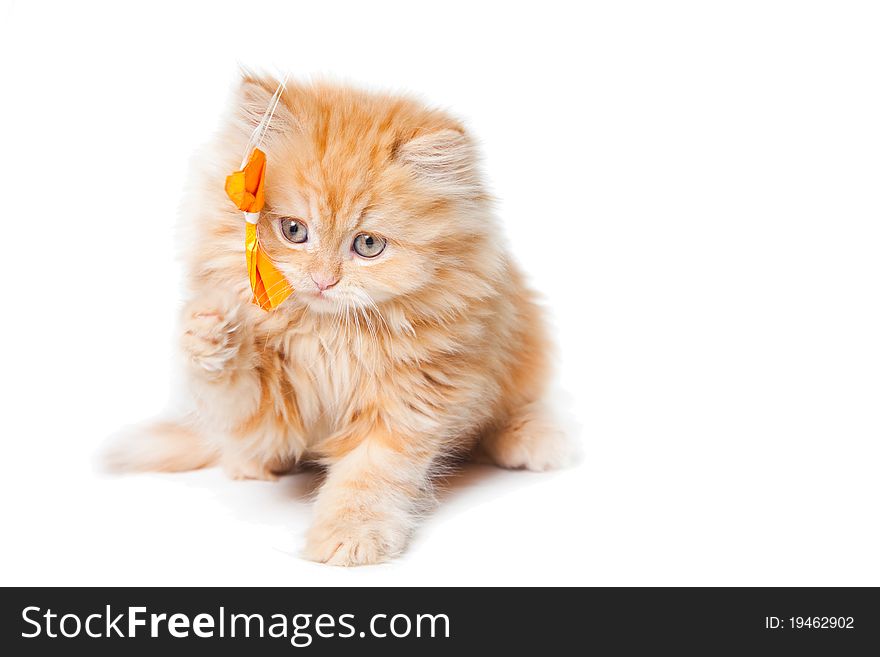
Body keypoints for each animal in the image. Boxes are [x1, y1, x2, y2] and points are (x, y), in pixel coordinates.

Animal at [105, 73, 572, 564]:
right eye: (294, 231)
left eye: (367, 244)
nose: (323, 280)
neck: (331, 337)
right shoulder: (277, 409)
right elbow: (236, 390)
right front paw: (212, 331)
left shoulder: (410, 401)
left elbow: (369, 476)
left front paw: (351, 537)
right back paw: (248, 464)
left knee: (515, 410)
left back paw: (535, 440)